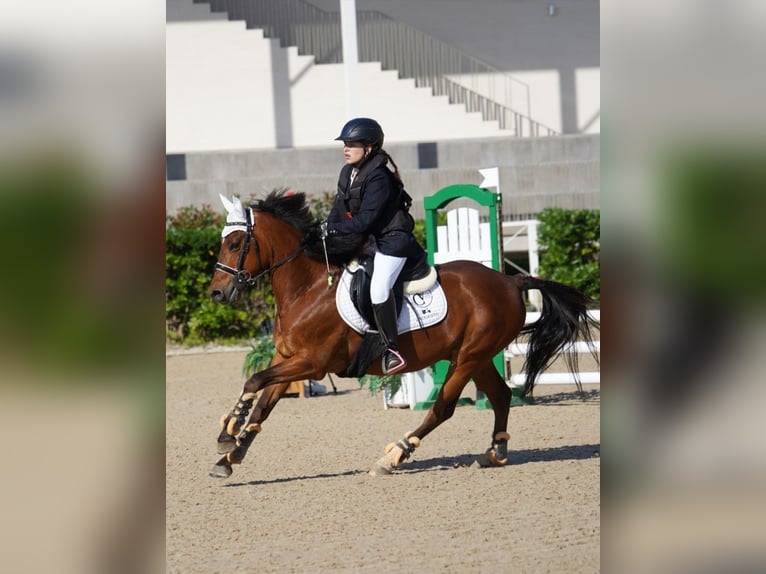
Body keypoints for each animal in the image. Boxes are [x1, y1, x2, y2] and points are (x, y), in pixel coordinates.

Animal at [207, 189, 598, 478]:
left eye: (236, 243)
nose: (216, 294)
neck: (308, 287)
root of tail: (511, 281)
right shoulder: (287, 358)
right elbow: (263, 403)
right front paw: (231, 455)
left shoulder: (312, 364)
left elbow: (254, 381)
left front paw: (227, 436)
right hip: (476, 357)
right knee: (500, 396)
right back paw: (495, 452)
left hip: (468, 358)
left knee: (442, 408)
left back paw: (394, 455)